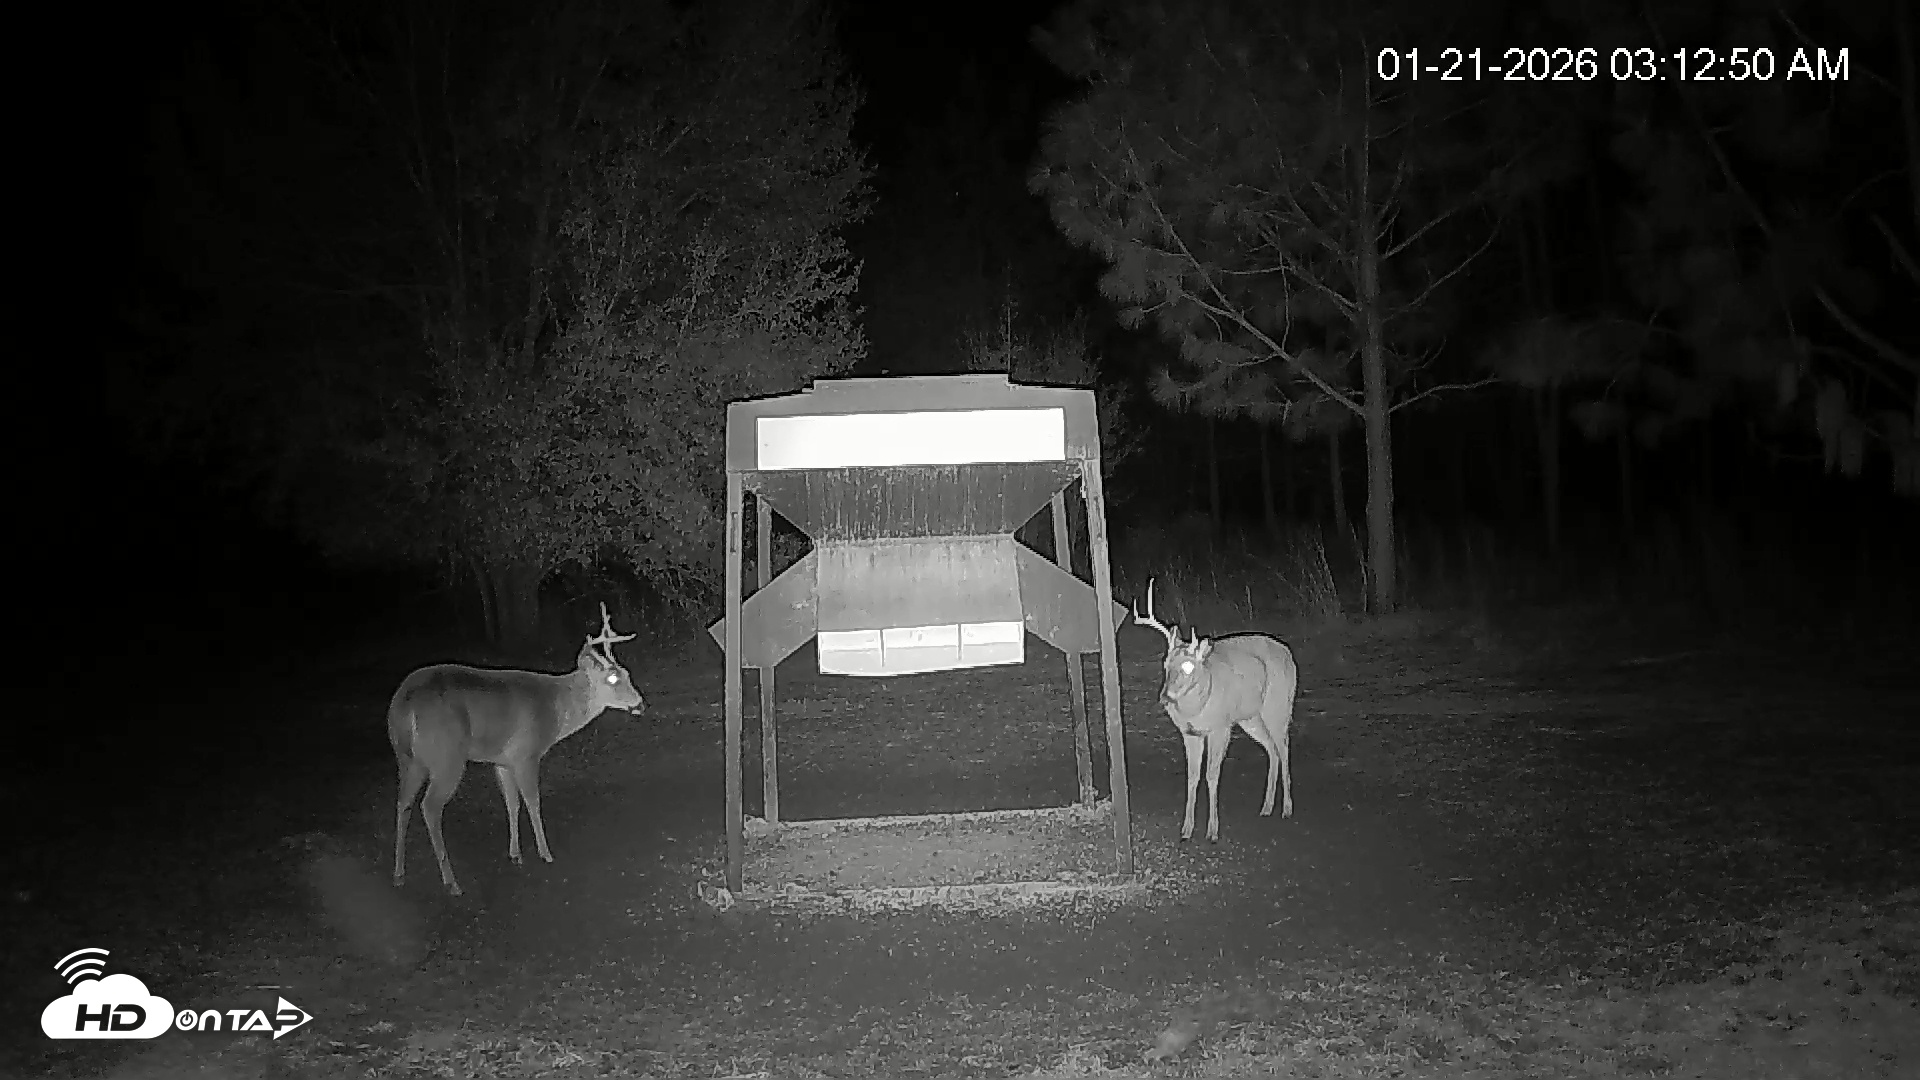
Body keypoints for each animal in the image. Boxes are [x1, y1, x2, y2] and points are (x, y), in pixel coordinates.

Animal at [389, 602, 644, 896]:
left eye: (626, 674)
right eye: (613, 678)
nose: (640, 703)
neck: (557, 710)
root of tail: (405, 705)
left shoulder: (503, 760)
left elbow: (512, 803)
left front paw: (515, 854)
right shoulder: (527, 753)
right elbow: (532, 801)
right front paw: (545, 853)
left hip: (408, 758)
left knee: (403, 802)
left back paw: (399, 874)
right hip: (446, 755)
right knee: (429, 807)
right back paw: (451, 882)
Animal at [1132, 579, 1298, 843]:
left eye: (1189, 666)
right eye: (1165, 663)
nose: (1165, 697)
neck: (1196, 708)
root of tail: (1288, 654)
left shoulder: (1220, 727)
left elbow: (1212, 775)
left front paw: (1212, 831)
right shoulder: (1190, 733)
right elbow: (1192, 776)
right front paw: (1186, 829)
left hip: (1278, 705)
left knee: (1284, 748)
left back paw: (1287, 809)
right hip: (1250, 717)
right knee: (1272, 749)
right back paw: (1266, 807)